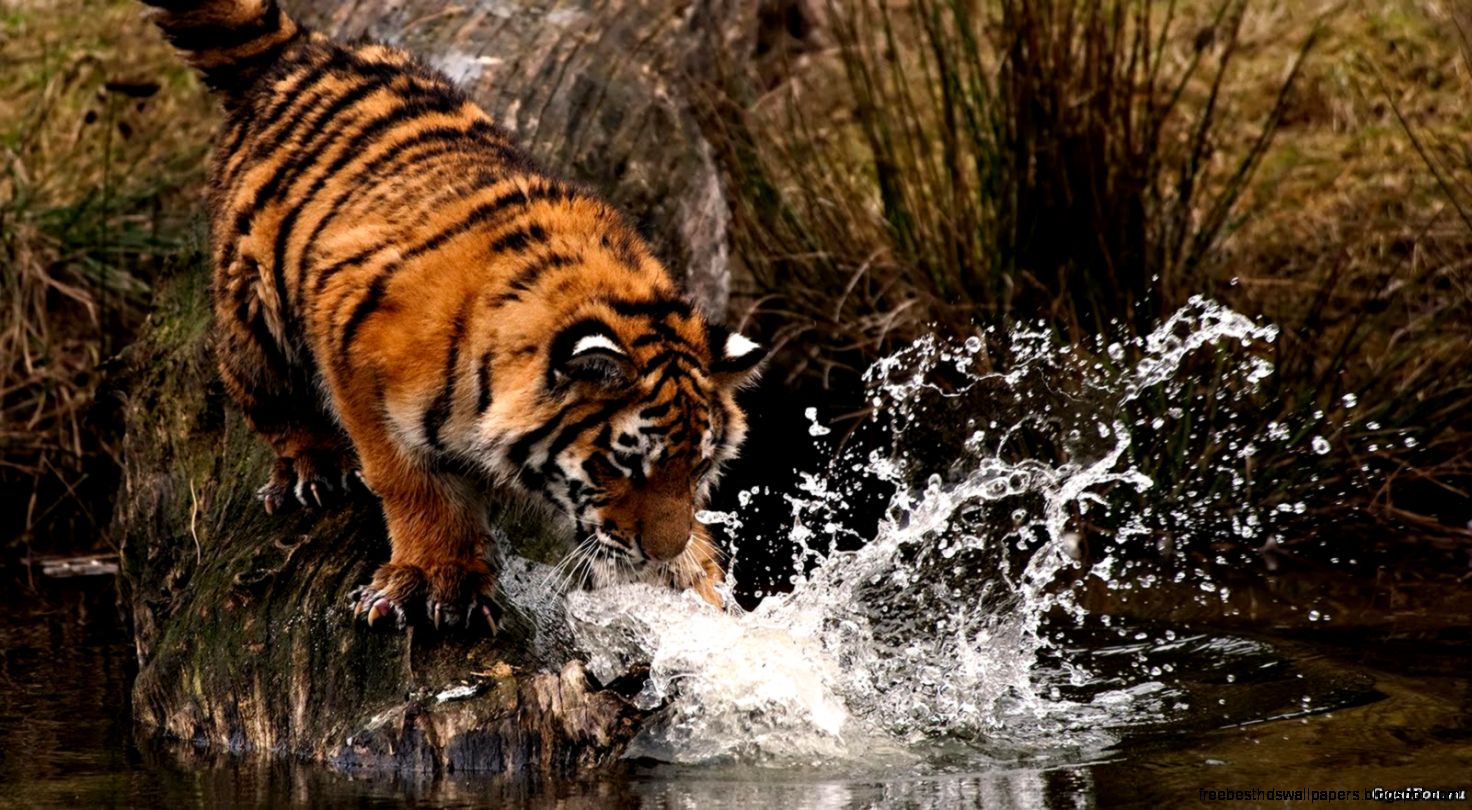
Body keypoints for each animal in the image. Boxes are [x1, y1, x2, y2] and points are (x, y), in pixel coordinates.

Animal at [144, 0, 764, 631]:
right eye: (625, 465)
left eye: (697, 468)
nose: (661, 550)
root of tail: (304, 47)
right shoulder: (357, 359)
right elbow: (413, 484)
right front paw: (437, 579)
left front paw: (702, 586)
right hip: (255, 308)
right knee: (259, 387)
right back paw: (310, 468)